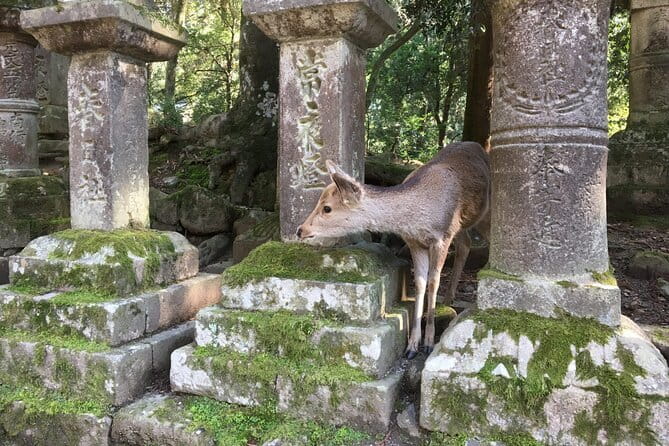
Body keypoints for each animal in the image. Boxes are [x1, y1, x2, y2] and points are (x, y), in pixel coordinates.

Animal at [297, 142, 491, 359]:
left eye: (327, 208)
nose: (300, 230)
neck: (418, 218)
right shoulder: (415, 243)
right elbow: (420, 283)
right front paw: (412, 345)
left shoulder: (443, 236)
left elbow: (433, 282)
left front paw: (429, 343)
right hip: (462, 226)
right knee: (465, 243)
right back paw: (449, 298)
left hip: (484, 214)